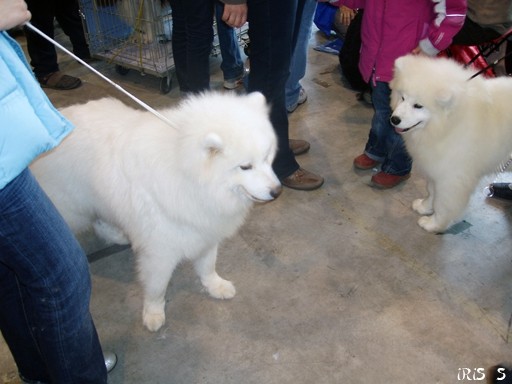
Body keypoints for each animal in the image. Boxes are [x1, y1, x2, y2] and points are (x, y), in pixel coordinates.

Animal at [30, 91, 282, 332]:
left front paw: (215, 285)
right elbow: (157, 287)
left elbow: (208, 265)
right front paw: (153, 314)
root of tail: (61, 118)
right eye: (245, 167)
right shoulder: (160, 251)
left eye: (267, 157)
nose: (277, 191)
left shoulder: (204, 231)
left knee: (102, 221)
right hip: (72, 205)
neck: (187, 176)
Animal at [390, 55, 512, 232]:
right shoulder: (437, 169)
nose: (394, 119)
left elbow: (443, 204)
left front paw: (434, 224)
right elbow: (432, 192)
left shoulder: (452, 179)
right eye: (403, 97)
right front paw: (425, 207)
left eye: (418, 106)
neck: (449, 125)